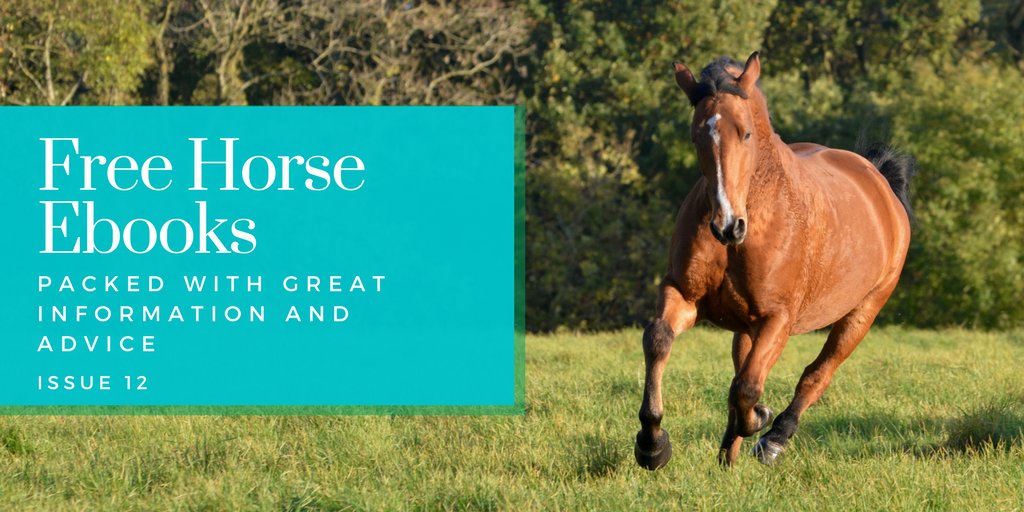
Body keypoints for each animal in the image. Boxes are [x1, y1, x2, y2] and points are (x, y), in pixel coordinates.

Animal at [633, 51, 915, 469]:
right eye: (696, 135)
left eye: (745, 133)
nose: (727, 225)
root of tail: (878, 179)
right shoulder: (682, 295)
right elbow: (658, 340)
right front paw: (652, 445)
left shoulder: (777, 320)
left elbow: (749, 388)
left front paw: (762, 419)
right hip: (746, 327)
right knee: (741, 374)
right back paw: (728, 456)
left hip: (863, 312)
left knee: (815, 375)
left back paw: (774, 439)